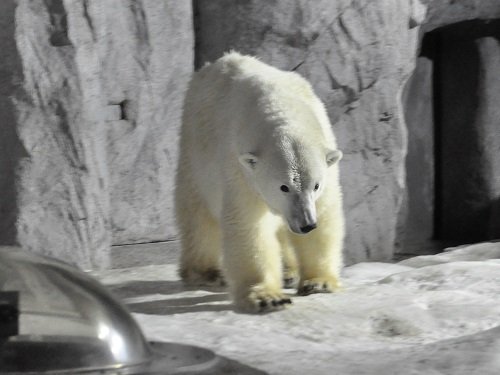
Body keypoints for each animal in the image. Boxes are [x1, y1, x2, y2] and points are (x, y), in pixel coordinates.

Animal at [176, 51, 344, 312]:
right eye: (283, 186)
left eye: (315, 185)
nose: (306, 224)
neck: (281, 107)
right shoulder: (241, 168)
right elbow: (249, 226)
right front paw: (269, 297)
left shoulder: (326, 159)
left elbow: (326, 213)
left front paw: (319, 282)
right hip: (193, 152)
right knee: (198, 216)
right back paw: (206, 272)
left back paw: (288, 272)